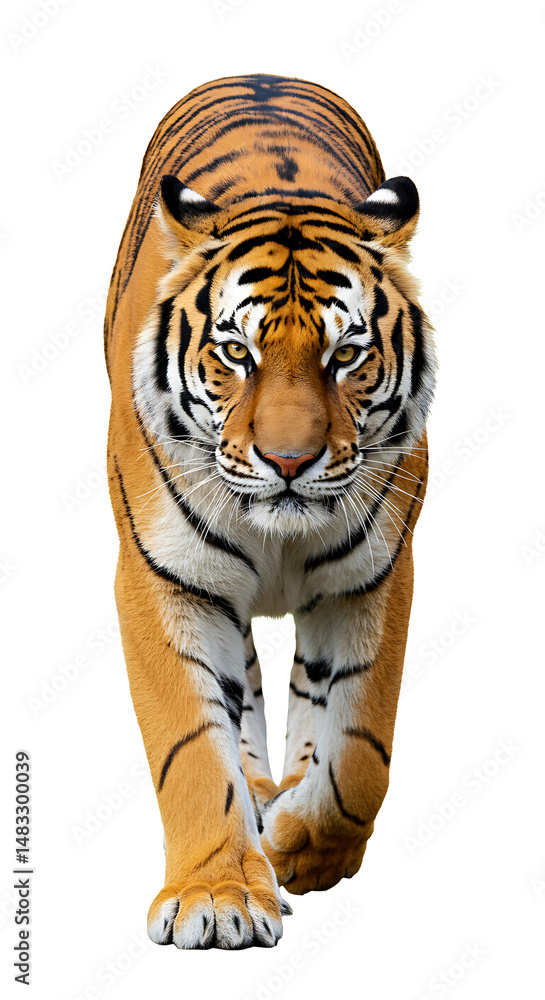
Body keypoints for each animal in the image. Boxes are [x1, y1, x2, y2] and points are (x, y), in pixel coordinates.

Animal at [104, 73, 437, 950]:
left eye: (345, 355)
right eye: (236, 353)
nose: (289, 462)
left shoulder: (374, 573)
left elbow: (360, 749)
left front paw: (302, 849)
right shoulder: (165, 577)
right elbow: (192, 744)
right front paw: (218, 895)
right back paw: (257, 794)